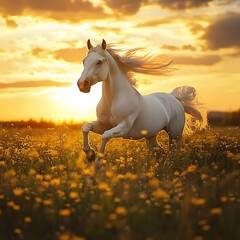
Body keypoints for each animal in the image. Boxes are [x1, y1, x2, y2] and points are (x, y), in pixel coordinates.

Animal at [77, 39, 206, 162]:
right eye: (84, 61)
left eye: (99, 62)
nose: (82, 84)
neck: (112, 100)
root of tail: (174, 98)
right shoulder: (103, 124)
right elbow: (85, 127)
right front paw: (90, 154)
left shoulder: (123, 127)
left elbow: (105, 135)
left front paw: (97, 162)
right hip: (151, 136)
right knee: (161, 152)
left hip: (175, 135)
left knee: (173, 153)